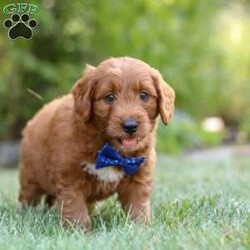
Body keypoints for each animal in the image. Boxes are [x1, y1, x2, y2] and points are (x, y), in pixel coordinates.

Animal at [18, 56, 175, 230]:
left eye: (144, 95)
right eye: (109, 97)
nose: (130, 126)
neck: (111, 150)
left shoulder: (138, 175)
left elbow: (138, 205)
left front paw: (140, 227)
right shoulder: (69, 177)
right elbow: (74, 206)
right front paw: (78, 230)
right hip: (30, 176)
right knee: (28, 197)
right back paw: (26, 213)